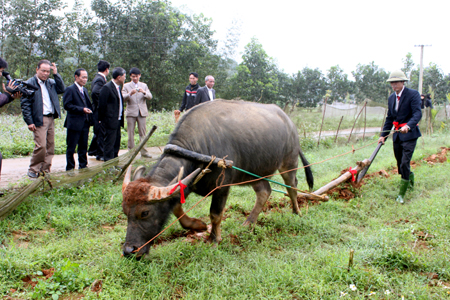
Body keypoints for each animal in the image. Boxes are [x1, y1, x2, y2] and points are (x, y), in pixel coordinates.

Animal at [122, 99, 312, 256]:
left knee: (292, 186)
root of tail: (289, 123)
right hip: (256, 172)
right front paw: (197, 225)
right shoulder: (185, 185)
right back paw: (249, 223)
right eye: (125, 211)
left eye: (145, 212)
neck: (197, 150)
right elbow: (176, 208)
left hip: (289, 162)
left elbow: (215, 214)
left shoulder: (222, 186)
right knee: (264, 191)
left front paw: (214, 239)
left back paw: (296, 211)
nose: (129, 251)